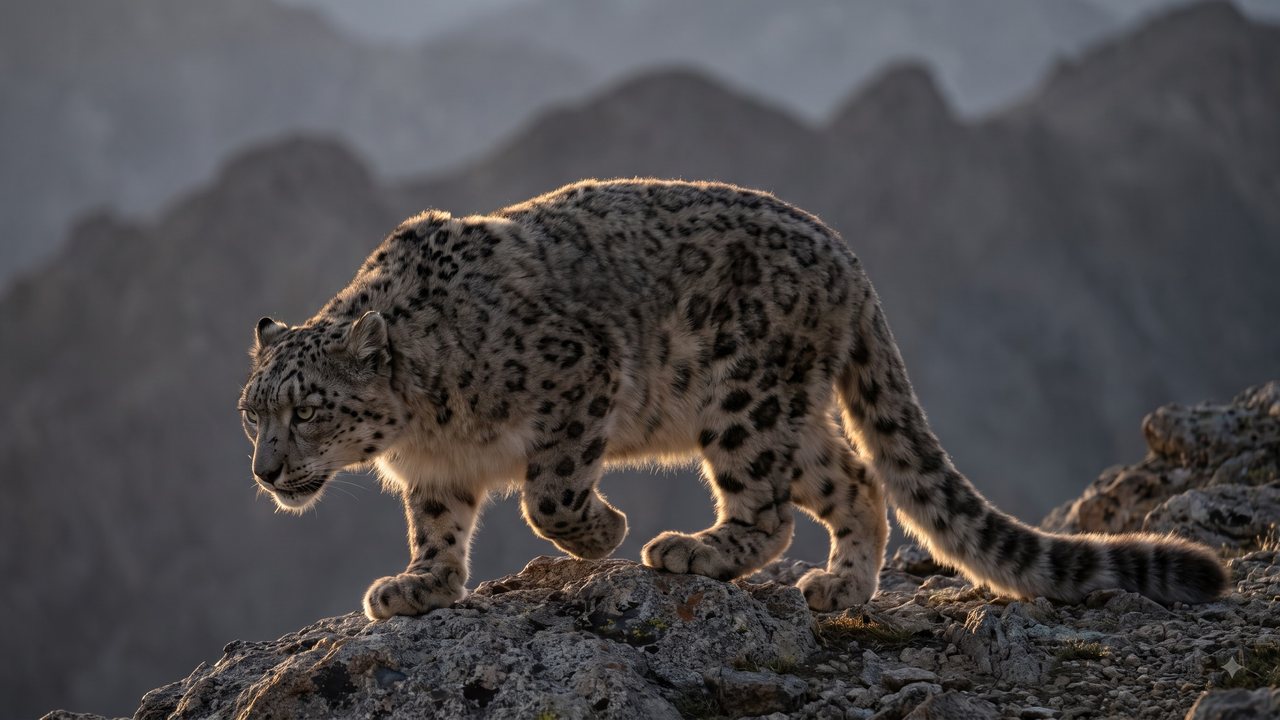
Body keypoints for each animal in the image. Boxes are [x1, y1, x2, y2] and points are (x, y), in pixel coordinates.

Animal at [238, 178, 1227, 620]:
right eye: (252, 412)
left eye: (308, 409)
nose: (268, 471)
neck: (424, 424)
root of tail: (846, 258)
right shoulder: (436, 474)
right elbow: (439, 528)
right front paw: (418, 586)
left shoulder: (577, 373)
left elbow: (549, 492)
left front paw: (602, 533)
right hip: (787, 412)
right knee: (854, 482)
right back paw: (841, 584)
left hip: (741, 400)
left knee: (773, 508)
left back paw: (693, 550)